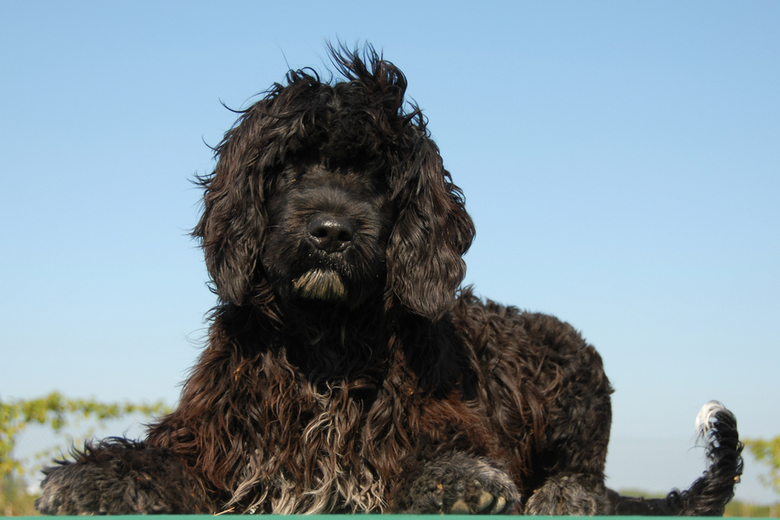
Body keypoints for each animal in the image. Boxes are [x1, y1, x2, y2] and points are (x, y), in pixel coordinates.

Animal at [36, 45, 744, 516]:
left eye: (378, 176)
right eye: (289, 165)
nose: (330, 231)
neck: (324, 343)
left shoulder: (433, 424)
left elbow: (442, 454)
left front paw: (460, 481)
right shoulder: (216, 444)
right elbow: (161, 461)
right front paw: (94, 477)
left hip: (569, 373)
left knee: (590, 476)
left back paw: (563, 495)